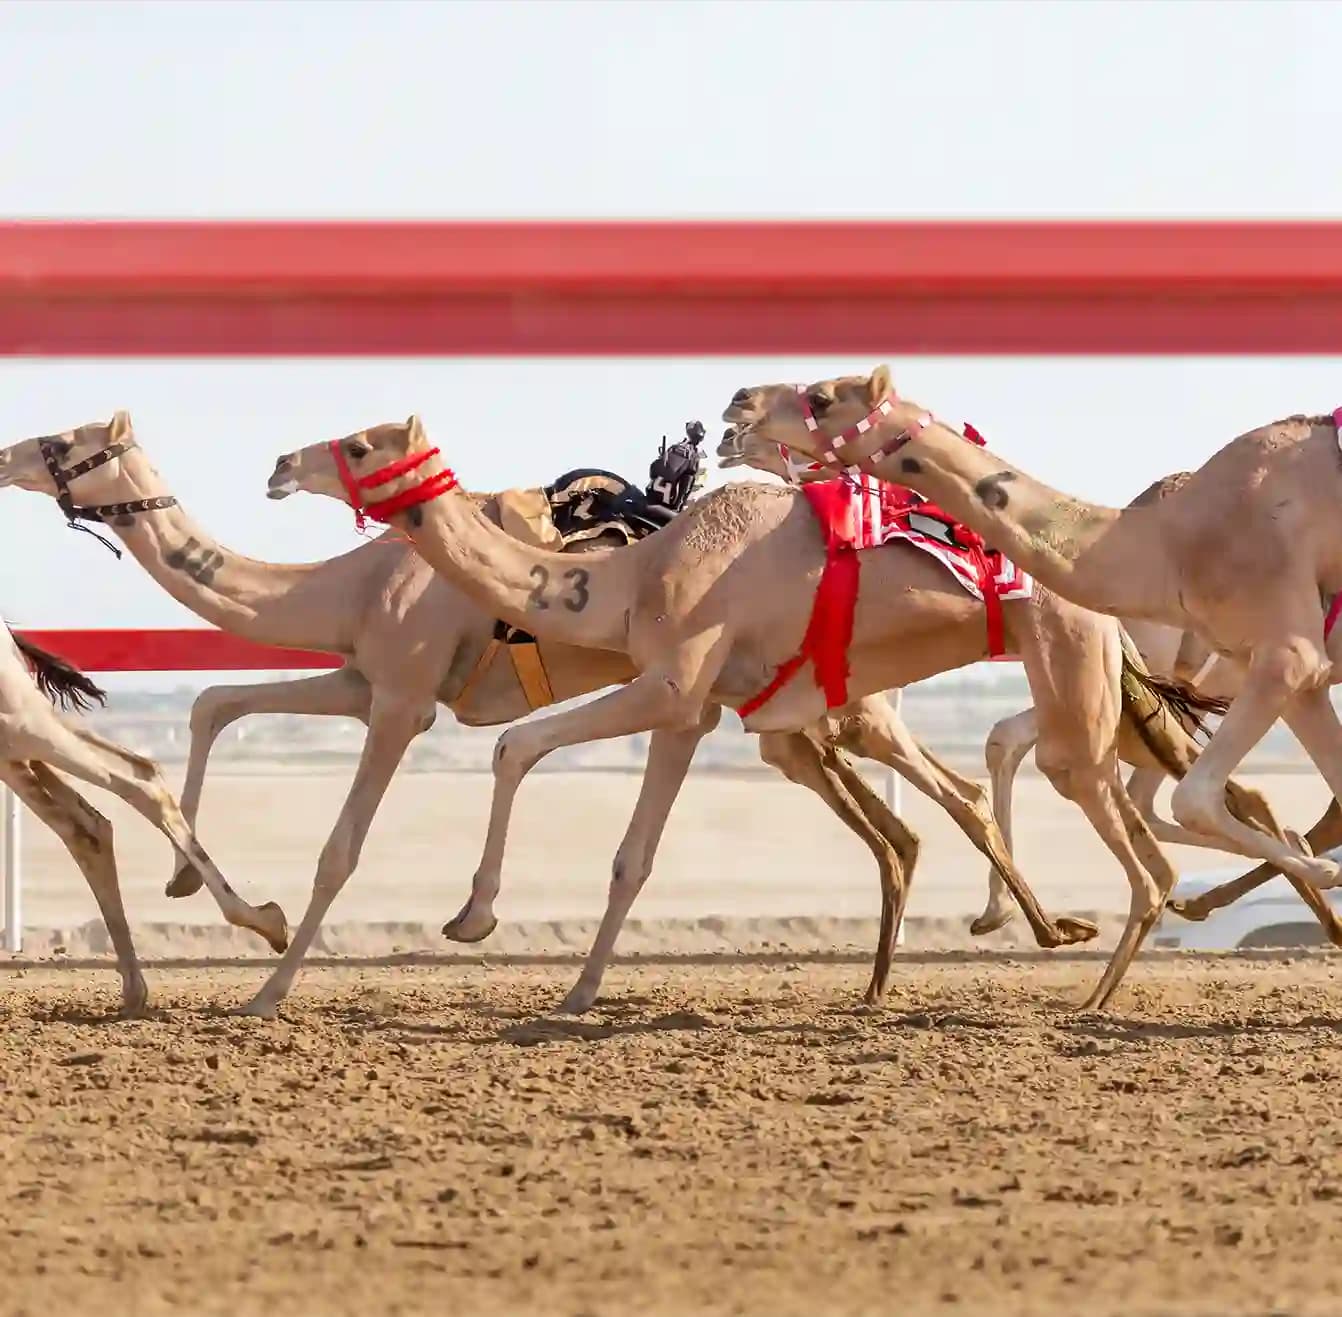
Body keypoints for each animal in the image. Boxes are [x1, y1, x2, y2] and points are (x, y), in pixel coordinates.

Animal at [0, 626, 285, 1013]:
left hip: (20, 724)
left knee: (136, 781)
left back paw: (264, 921)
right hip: (15, 742)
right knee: (88, 826)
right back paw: (135, 989)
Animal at [256, 413, 1273, 1013]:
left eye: (359, 443)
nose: (278, 464)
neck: (638, 570)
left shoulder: (674, 683)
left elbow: (520, 749)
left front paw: (476, 920)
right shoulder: (703, 704)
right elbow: (625, 847)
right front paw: (574, 985)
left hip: (1066, 679)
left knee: (1128, 835)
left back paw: (1091, 984)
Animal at [722, 366, 1342, 973]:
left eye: (822, 397)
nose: (737, 405)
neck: (1169, 542)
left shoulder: (1287, 653)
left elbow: (1191, 797)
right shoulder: (1292, 674)